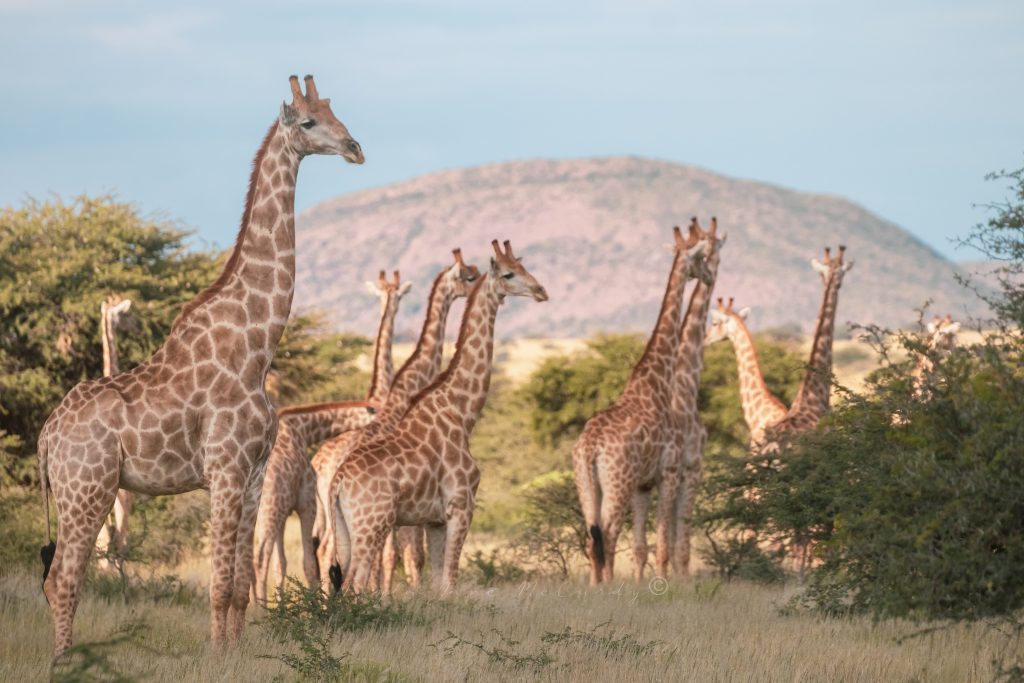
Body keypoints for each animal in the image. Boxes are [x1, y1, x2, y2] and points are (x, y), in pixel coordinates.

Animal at [37, 74, 364, 655]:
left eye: (335, 113)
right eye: (309, 122)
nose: (355, 148)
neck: (257, 348)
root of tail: (47, 436)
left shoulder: (253, 477)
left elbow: (240, 584)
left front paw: (233, 650)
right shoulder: (225, 469)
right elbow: (218, 584)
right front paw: (216, 655)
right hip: (87, 490)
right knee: (63, 577)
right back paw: (64, 660)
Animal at [573, 224, 713, 585]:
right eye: (700, 258)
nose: (708, 276)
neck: (657, 381)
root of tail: (590, 448)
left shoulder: (642, 485)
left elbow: (641, 545)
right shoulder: (668, 473)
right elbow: (661, 543)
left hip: (587, 485)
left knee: (592, 536)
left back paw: (594, 587)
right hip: (616, 483)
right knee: (607, 534)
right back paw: (607, 587)